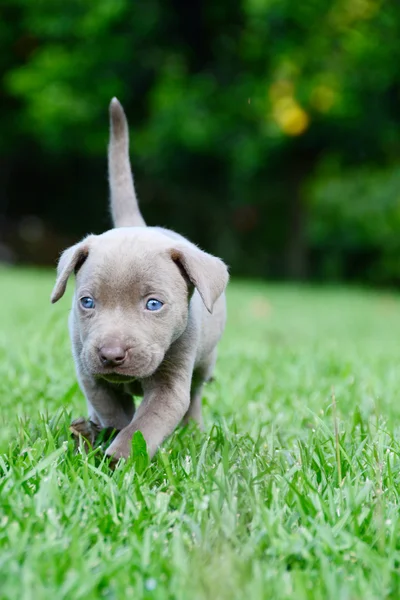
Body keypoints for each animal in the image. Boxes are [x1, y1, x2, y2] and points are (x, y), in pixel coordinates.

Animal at [51, 99, 230, 464]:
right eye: (87, 302)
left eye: (153, 305)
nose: (111, 354)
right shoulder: (90, 373)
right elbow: (115, 413)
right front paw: (105, 439)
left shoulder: (171, 383)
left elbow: (146, 423)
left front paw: (121, 457)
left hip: (206, 361)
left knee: (196, 393)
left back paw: (194, 431)